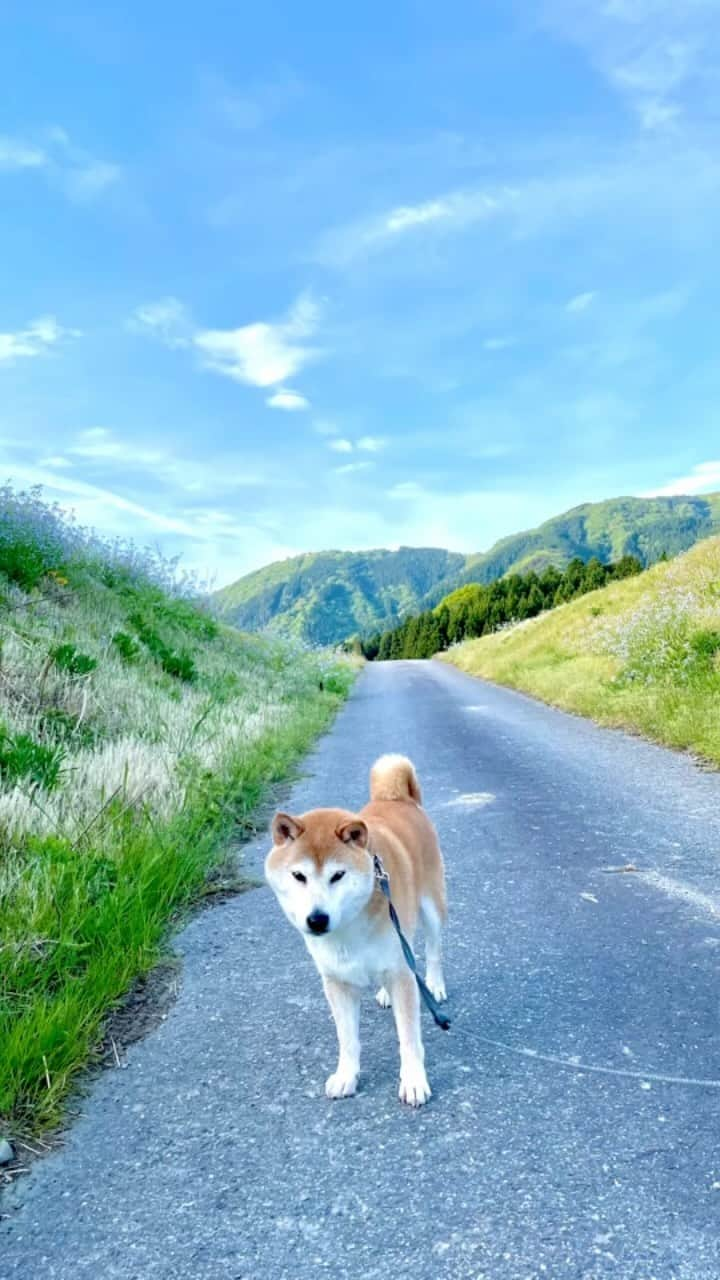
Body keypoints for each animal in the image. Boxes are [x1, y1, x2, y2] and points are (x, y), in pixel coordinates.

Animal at [265, 752, 443, 1105]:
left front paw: (414, 1080)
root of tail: (398, 799)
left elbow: (408, 1038)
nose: (317, 919)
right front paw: (346, 1076)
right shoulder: (337, 981)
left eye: (338, 875)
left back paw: (436, 984)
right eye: (298, 875)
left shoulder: (401, 974)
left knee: (433, 950)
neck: (351, 925)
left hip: (431, 907)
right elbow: (347, 1039)